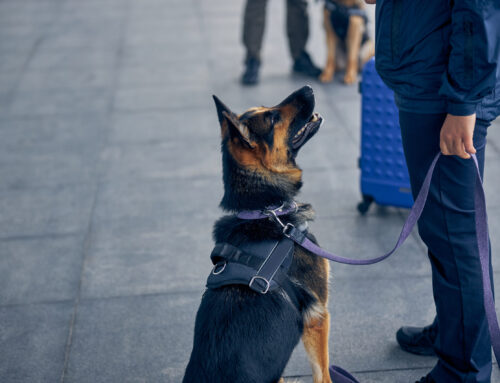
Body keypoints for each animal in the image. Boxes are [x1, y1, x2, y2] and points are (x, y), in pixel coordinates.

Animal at [184, 87, 332, 383]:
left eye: (269, 107)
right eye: (273, 118)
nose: (308, 88)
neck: (264, 209)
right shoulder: (318, 318)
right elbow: (324, 375)